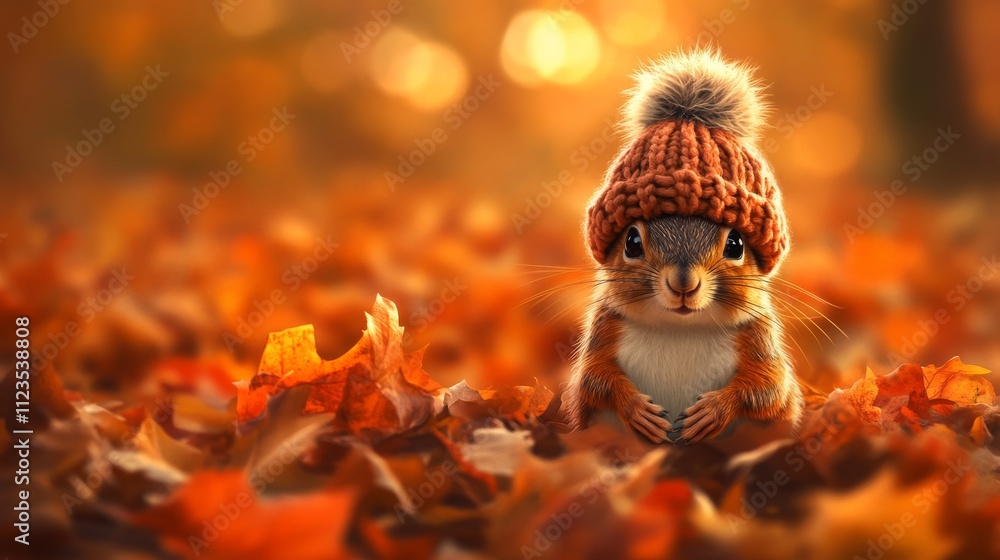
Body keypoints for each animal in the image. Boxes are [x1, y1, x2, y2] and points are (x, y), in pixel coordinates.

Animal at [564, 49, 803, 444]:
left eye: (736, 244)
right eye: (632, 241)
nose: (683, 285)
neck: (681, 329)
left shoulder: (758, 337)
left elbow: (767, 386)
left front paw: (713, 411)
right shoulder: (603, 329)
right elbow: (595, 379)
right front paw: (638, 411)